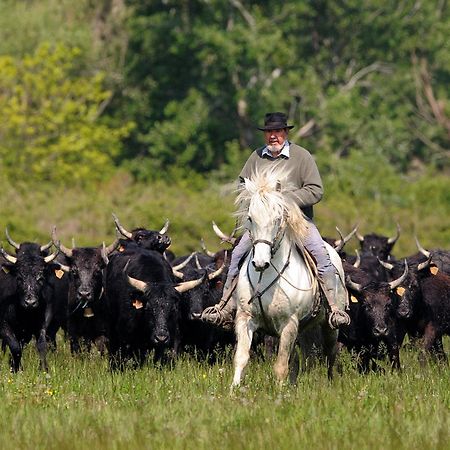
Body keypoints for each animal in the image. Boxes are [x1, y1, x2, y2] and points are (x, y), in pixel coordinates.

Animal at [232, 166, 348, 386]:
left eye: (278, 218)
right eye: (250, 218)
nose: (260, 263)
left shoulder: (288, 323)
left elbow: (280, 366)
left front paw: (280, 392)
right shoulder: (246, 318)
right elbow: (241, 358)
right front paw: (233, 389)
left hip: (330, 325)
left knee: (331, 353)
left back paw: (332, 384)